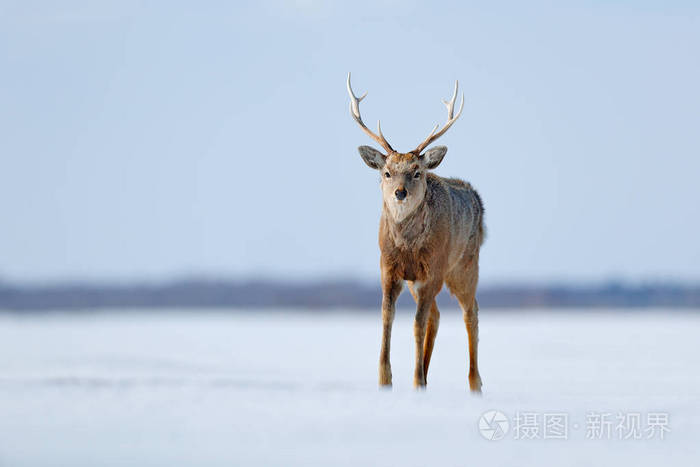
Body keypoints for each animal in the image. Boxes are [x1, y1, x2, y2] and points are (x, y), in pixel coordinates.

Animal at [348, 73, 484, 394]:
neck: (407, 246)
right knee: (437, 315)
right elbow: (388, 317)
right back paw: (426, 372)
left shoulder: (432, 270)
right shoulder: (389, 269)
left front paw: (414, 380)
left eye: (417, 171)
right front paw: (385, 379)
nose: (400, 192)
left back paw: (474, 383)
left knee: (470, 313)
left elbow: (417, 323)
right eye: (386, 172)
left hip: (464, 267)